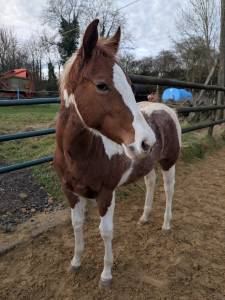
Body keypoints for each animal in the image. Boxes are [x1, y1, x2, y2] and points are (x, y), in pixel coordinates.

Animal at [54, 19, 181, 288]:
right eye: (102, 85)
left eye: (131, 86)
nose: (148, 141)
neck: (80, 154)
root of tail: (166, 109)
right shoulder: (70, 192)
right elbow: (77, 225)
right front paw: (75, 262)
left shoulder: (106, 193)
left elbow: (105, 231)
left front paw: (106, 275)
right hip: (145, 163)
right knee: (151, 183)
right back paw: (145, 217)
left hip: (168, 163)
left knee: (168, 189)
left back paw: (166, 224)